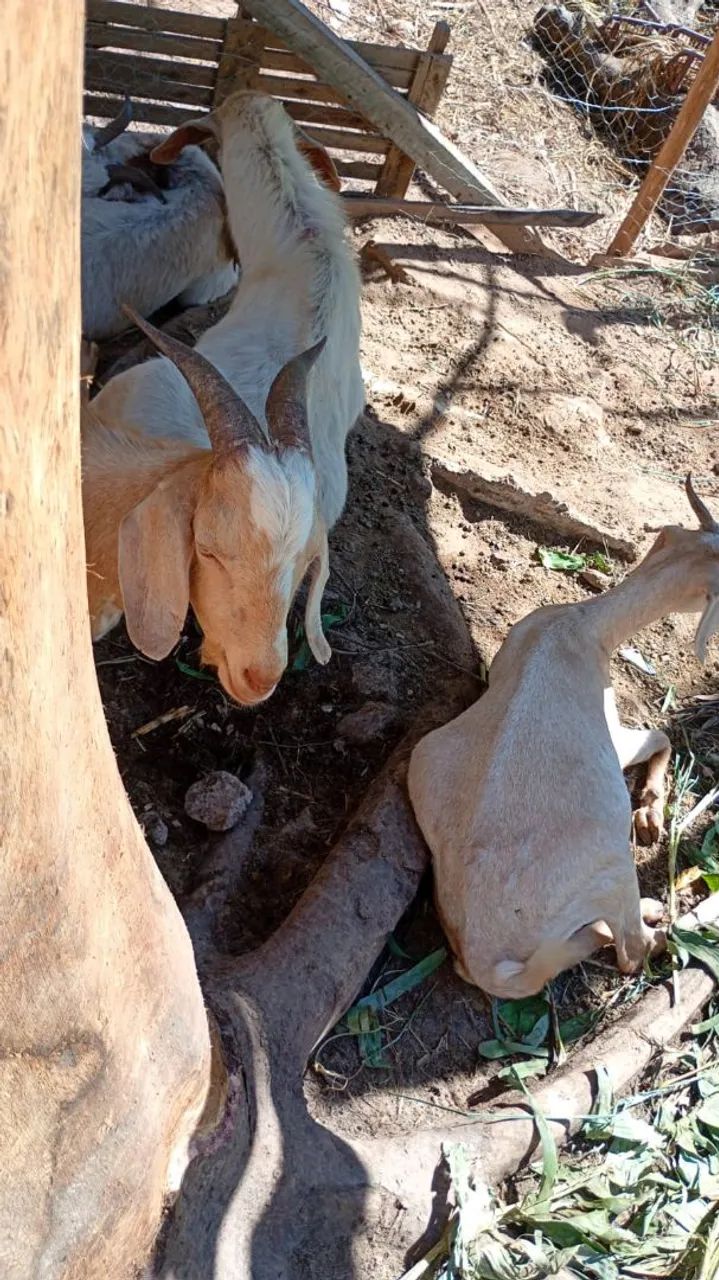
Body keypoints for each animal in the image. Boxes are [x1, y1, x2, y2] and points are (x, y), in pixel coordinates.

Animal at [408, 477, 719, 998]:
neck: (581, 627)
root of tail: (488, 962)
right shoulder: (611, 733)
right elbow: (660, 735)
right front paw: (651, 813)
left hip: (422, 760)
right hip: (611, 865)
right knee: (631, 951)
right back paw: (659, 917)